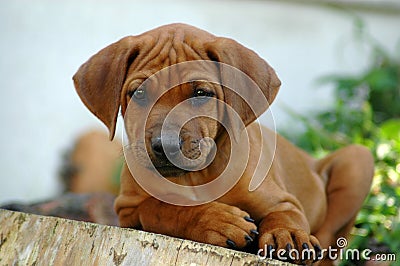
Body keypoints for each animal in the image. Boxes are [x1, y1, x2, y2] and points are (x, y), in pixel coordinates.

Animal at [72, 23, 376, 264]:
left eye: (201, 93)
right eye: (138, 93)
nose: (164, 145)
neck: (197, 176)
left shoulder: (285, 201)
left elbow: (285, 215)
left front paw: (286, 233)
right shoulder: (128, 210)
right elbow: (164, 208)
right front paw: (218, 221)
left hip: (358, 158)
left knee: (329, 240)